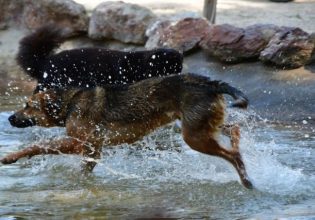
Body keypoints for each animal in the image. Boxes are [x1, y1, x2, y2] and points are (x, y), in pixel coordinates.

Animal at [1, 73, 254, 189]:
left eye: (29, 106)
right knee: (234, 129)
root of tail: (210, 83)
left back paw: (246, 180)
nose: (10, 118)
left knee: (233, 155)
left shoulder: (83, 143)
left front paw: (10, 157)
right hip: (204, 126)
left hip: (193, 136)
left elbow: (38, 145)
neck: (69, 103)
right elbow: (84, 169)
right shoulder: (92, 150)